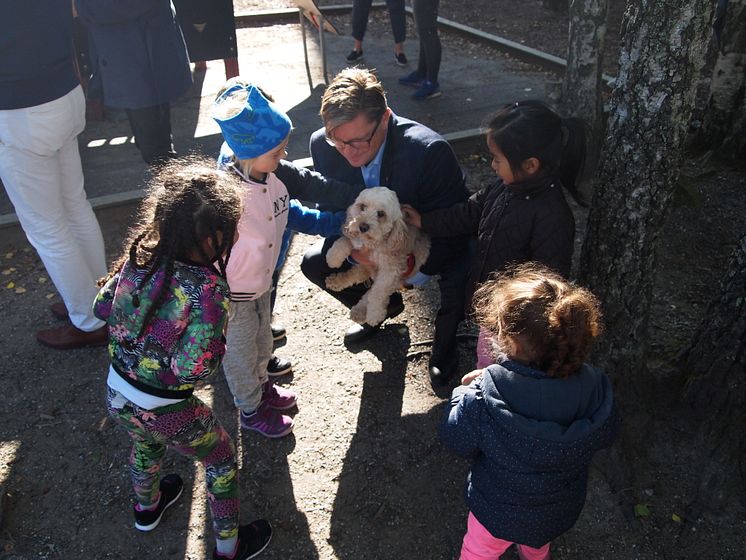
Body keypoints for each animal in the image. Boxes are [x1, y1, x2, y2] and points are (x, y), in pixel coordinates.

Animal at [326, 187, 430, 326]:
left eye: (381, 214)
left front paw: (374, 314)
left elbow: (377, 292)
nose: (363, 226)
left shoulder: (390, 272)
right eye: (362, 207)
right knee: (354, 275)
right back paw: (336, 283)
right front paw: (333, 257)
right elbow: (344, 241)